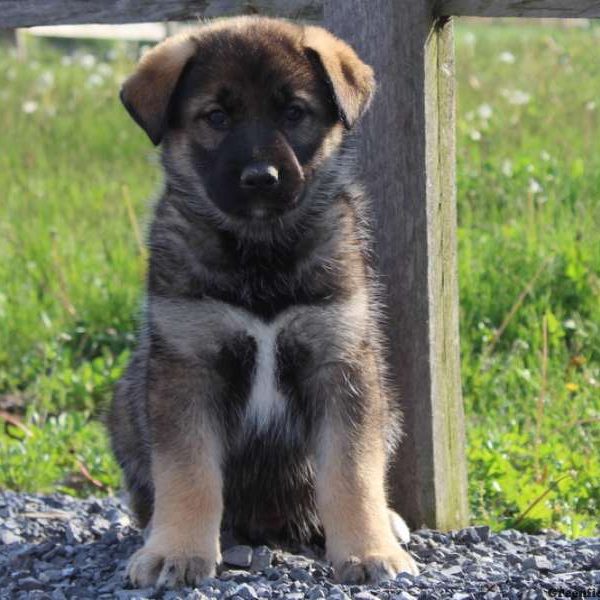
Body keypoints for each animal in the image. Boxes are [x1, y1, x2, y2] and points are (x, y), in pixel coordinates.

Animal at [109, 16, 418, 588]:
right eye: (216, 117)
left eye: (294, 112)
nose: (260, 178)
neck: (259, 252)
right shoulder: (187, 366)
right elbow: (187, 473)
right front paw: (176, 551)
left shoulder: (340, 364)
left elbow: (351, 471)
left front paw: (368, 549)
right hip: (125, 402)